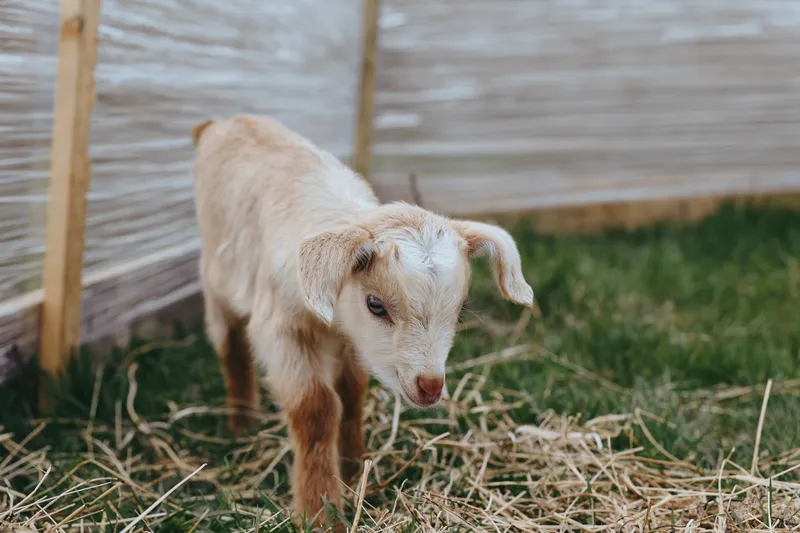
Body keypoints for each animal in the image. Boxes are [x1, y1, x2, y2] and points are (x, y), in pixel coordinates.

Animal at [191, 115, 533, 527]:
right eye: (375, 304)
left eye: (461, 307)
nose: (430, 385)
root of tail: (220, 123)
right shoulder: (282, 331)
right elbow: (317, 409)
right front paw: (319, 512)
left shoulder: (352, 342)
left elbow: (352, 395)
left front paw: (354, 471)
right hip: (216, 280)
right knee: (232, 347)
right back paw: (242, 424)